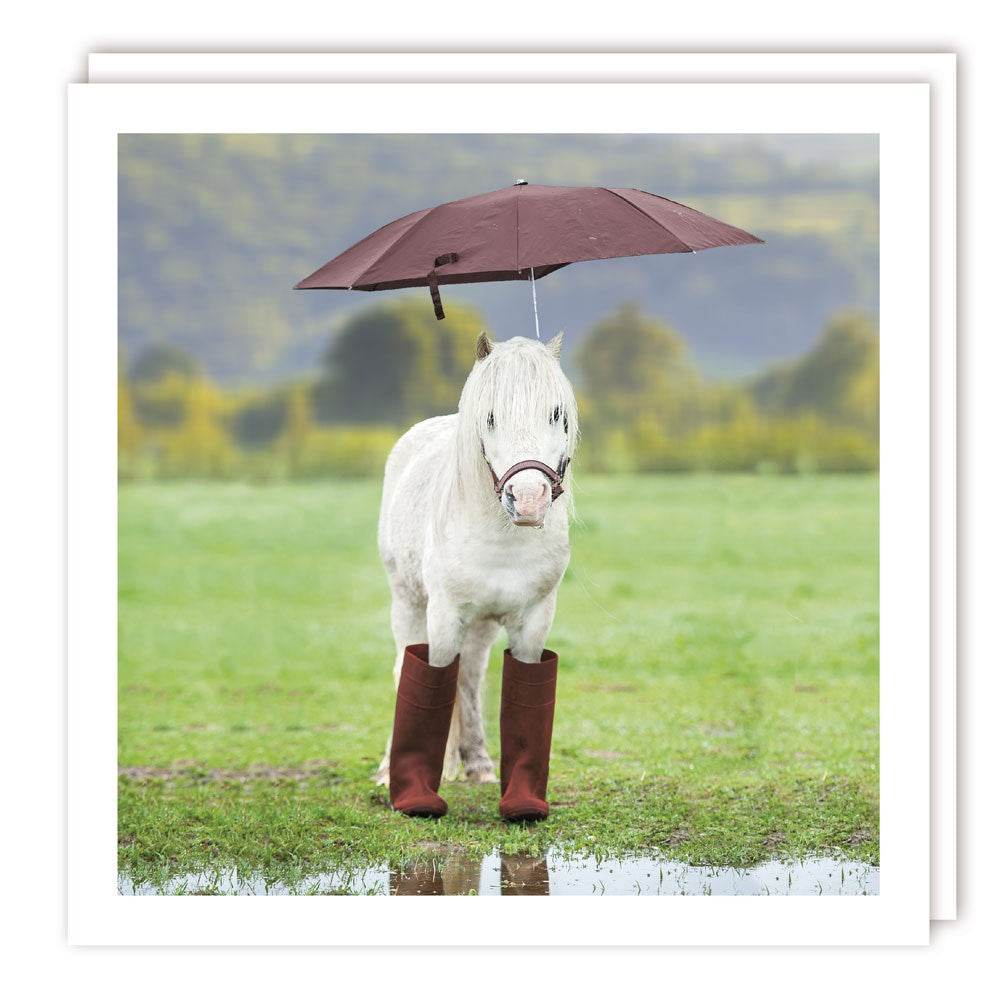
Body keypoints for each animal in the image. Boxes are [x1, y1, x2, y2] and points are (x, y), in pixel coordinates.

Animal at [374, 332, 578, 816]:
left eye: (556, 413)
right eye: (491, 417)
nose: (528, 500)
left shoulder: (533, 620)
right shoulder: (445, 614)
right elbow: (430, 677)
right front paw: (417, 790)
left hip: (482, 624)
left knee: (469, 676)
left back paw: (477, 764)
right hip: (407, 602)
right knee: (404, 668)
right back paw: (392, 768)